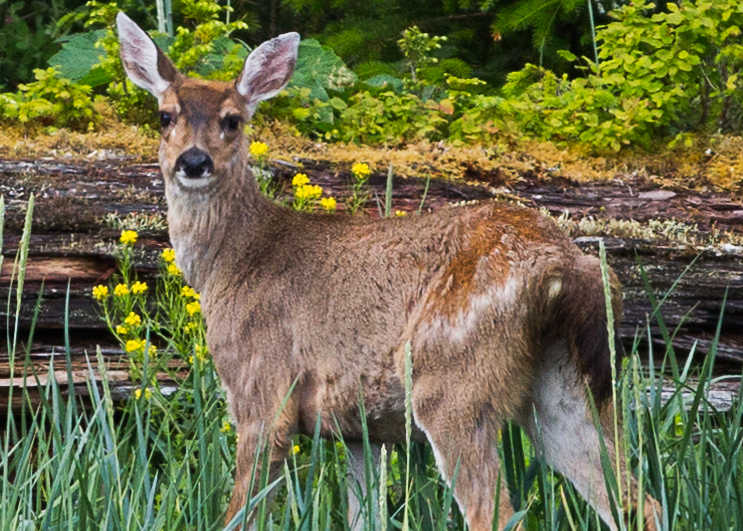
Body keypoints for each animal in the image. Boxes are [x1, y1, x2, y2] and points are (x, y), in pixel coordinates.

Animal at [116, 12, 661, 530]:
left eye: (232, 120)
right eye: (165, 116)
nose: (193, 161)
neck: (235, 262)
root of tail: (565, 263)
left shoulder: (263, 387)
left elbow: (240, 514)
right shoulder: (362, 428)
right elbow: (365, 514)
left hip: (452, 379)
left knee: (499, 514)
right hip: (567, 386)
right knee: (638, 501)